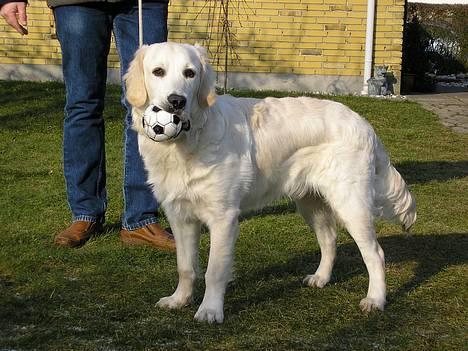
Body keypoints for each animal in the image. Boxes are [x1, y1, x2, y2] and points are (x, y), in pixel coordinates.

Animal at [124, 42, 416, 324]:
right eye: (158, 71)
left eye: (190, 73)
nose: (177, 101)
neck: (188, 140)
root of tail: (365, 124)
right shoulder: (180, 216)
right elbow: (185, 267)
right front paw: (179, 299)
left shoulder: (223, 217)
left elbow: (214, 271)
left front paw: (210, 311)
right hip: (311, 204)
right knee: (329, 240)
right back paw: (320, 278)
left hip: (351, 204)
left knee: (375, 254)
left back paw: (375, 299)